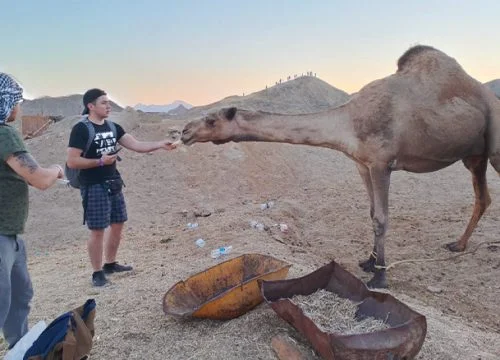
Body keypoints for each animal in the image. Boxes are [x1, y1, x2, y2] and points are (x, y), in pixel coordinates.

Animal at [180, 45, 500, 288]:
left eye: (211, 120)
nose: (184, 132)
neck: (349, 123)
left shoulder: (382, 163)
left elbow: (381, 218)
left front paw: (380, 278)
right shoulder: (362, 164)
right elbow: (371, 213)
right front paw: (369, 262)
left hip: (494, 143)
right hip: (473, 155)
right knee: (482, 197)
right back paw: (458, 245)